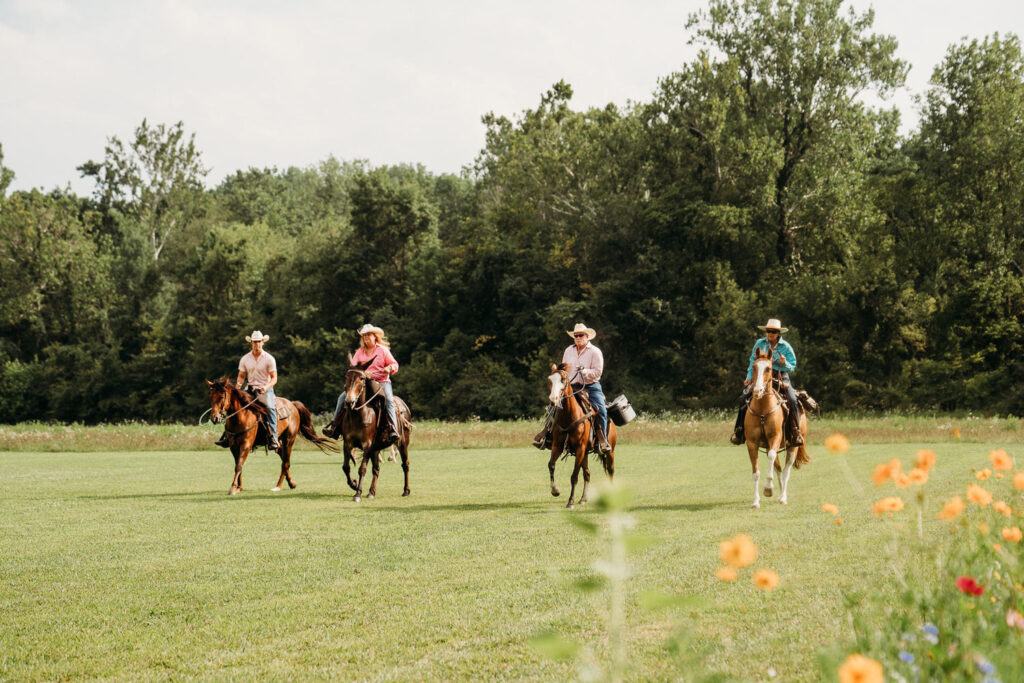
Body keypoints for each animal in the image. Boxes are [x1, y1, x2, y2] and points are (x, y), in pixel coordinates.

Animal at [205, 378, 337, 497]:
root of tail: (292, 404)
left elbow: (238, 466)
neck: (240, 417)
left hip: (289, 440)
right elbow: (239, 465)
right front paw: (239, 487)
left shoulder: (246, 445)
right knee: (284, 458)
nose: (214, 418)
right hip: (278, 443)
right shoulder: (233, 446)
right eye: (210, 397)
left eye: (221, 397)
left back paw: (278, 486)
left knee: (285, 463)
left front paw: (233, 488)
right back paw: (291, 483)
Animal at [323, 356, 411, 505]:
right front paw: (353, 484)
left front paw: (357, 493)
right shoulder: (348, 444)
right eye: (346, 376)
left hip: (402, 443)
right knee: (376, 469)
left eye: (362, 378)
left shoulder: (367, 445)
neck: (358, 415)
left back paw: (406, 490)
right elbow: (346, 467)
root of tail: (404, 405)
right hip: (376, 448)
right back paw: (371, 492)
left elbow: (362, 468)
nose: (349, 401)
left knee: (405, 465)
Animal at [544, 362, 614, 507]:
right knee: (587, 474)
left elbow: (574, 476)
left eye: (563, 379)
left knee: (610, 471)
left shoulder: (580, 448)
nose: (553, 399)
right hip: (585, 453)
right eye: (549, 380)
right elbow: (551, 465)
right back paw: (583, 499)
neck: (569, 416)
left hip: (609, 451)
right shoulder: (557, 446)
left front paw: (570, 502)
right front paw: (555, 490)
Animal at [741, 350, 811, 505]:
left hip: (793, 446)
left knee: (786, 471)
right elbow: (756, 473)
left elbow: (773, 458)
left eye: (768, 368)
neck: (762, 410)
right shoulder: (752, 443)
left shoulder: (775, 437)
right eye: (754, 367)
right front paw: (756, 501)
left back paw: (783, 497)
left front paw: (767, 488)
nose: (757, 390)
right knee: (778, 468)